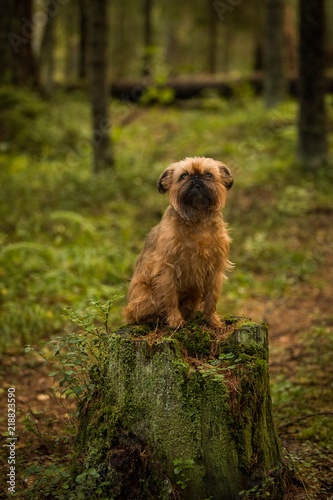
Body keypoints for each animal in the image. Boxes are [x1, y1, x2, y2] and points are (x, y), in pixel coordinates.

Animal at [120, 156, 232, 328]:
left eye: (208, 174)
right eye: (183, 176)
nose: (196, 177)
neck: (197, 218)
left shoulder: (215, 268)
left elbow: (211, 297)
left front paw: (212, 320)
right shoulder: (168, 268)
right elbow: (170, 296)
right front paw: (175, 321)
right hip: (144, 296)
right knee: (136, 315)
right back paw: (154, 319)